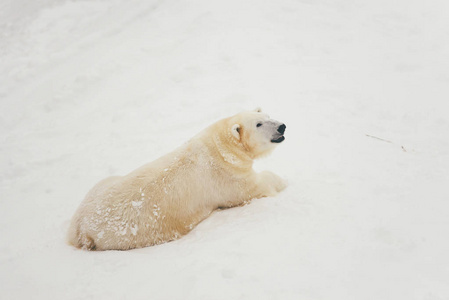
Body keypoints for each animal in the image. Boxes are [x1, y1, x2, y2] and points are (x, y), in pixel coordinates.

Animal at [67, 109, 288, 250]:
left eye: (267, 116)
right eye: (259, 124)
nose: (282, 127)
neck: (220, 147)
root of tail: (80, 229)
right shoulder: (228, 178)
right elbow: (257, 186)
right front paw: (283, 180)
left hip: (99, 186)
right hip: (137, 233)